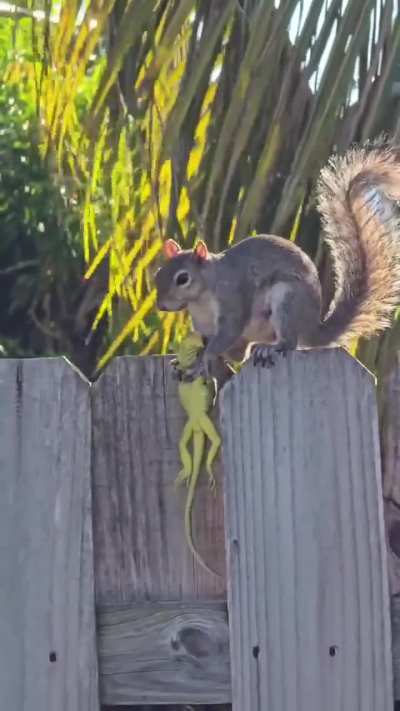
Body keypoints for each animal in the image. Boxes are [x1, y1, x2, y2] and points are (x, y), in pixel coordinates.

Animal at [155, 141, 400, 375]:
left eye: (183, 278)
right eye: (157, 274)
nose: (161, 306)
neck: (200, 299)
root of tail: (312, 328)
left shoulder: (232, 299)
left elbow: (227, 334)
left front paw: (203, 361)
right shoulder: (204, 326)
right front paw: (194, 360)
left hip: (287, 301)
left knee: (288, 343)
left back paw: (269, 348)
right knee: (241, 354)